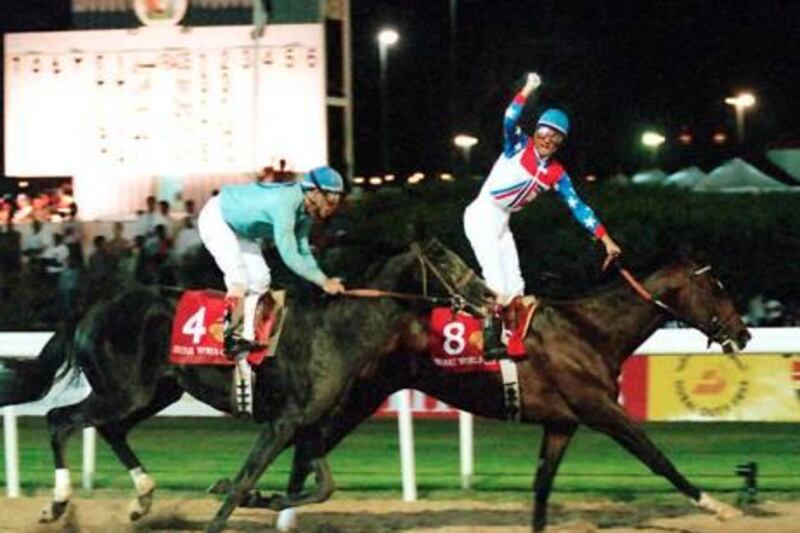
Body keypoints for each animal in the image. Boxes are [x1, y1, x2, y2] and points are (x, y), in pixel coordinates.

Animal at [260, 256, 752, 528]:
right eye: (716, 287)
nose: (744, 333)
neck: (591, 331)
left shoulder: (561, 424)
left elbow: (541, 489)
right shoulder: (601, 410)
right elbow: (658, 458)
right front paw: (719, 507)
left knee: (304, 448)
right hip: (353, 397)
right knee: (304, 445)